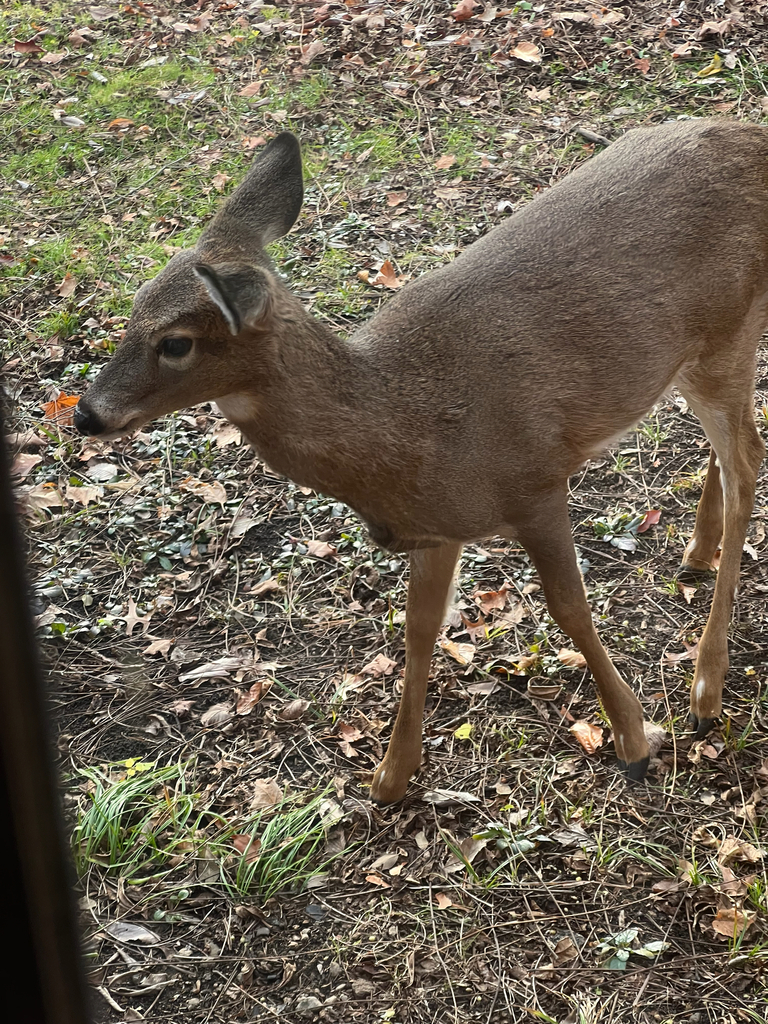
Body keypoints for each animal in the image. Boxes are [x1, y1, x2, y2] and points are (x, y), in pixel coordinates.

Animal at [74, 119, 768, 804]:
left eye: (176, 342)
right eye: (134, 305)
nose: (86, 414)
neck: (410, 431)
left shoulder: (536, 481)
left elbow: (569, 609)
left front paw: (632, 741)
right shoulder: (438, 530)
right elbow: (418, 629)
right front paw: (390, 775)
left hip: (725, 335)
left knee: (747, 463)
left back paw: (706, 688)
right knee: (734, 450)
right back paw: (696, 553)